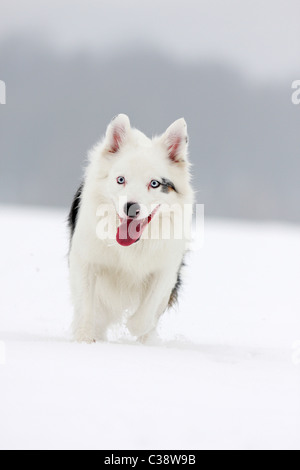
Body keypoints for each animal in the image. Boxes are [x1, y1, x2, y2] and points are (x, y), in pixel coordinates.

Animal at [68, 114, 193, 342]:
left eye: (154, 183)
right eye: (121, 180)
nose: (131, 207)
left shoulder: (166, 268)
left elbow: (145, 314)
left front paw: (137, 328)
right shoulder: (85, 259)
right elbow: (86, 306)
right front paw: (84, 339)